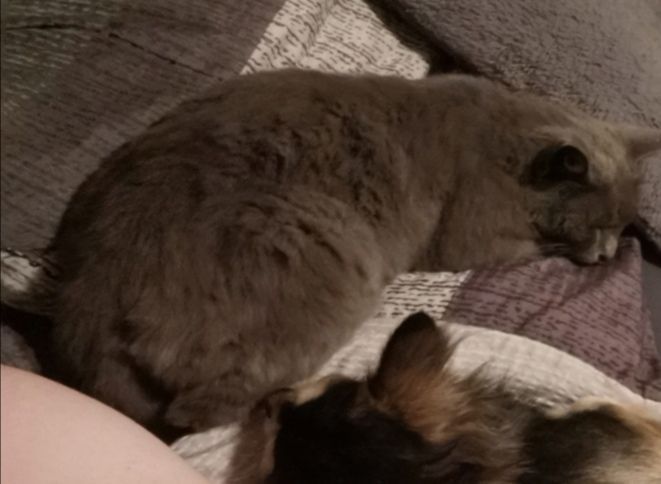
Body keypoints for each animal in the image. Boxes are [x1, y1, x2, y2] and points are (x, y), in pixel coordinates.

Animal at [49, 69, 661, 436]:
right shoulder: (470, 234)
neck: (505, 138)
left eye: (621, 224)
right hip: (328, 254)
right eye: (598, 225)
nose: (607, 255)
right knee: (202, 409)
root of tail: (87, 304)